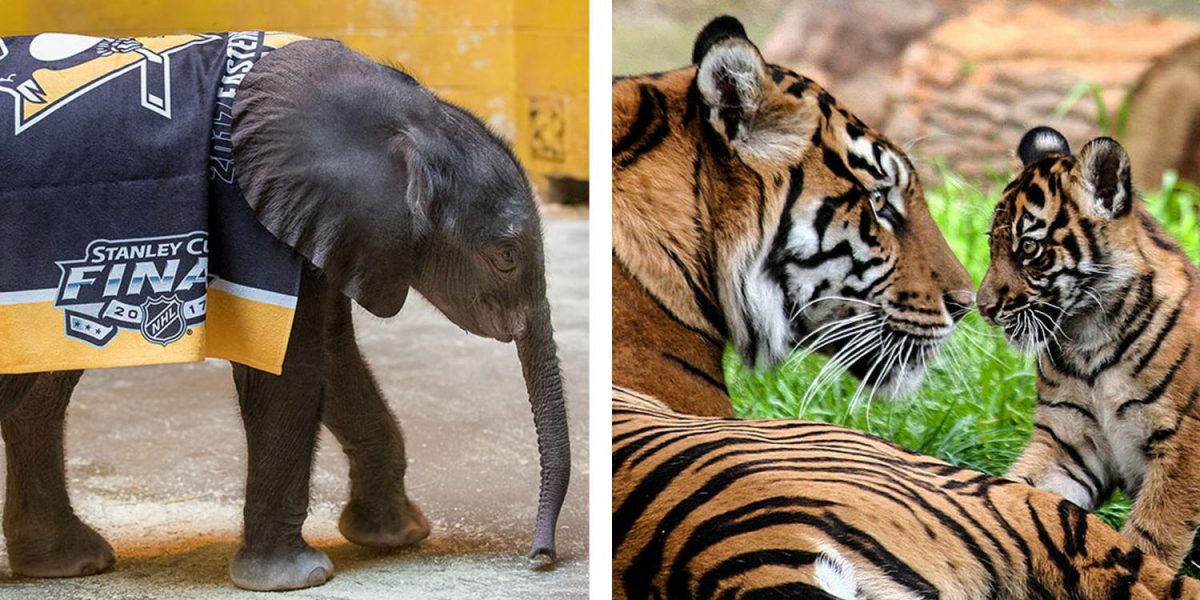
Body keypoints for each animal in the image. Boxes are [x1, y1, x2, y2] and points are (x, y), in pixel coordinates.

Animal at [0, 41, 568, 590]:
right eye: (506, 257)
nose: (540, 558)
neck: (402, 115)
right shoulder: (252, 223)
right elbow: (290, 372)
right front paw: (298, 578)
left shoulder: (328, 222)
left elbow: (334, 354)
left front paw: (395, 536)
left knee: (42, 389)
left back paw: (69, 563)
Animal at [979, 127, 1200, 571]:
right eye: (993, 243)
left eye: (1028, 249)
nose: (983, 307)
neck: (1089, 339)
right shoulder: (1070, 444)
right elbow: (1016, 490)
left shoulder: (1184, 446)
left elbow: (1153, 535)